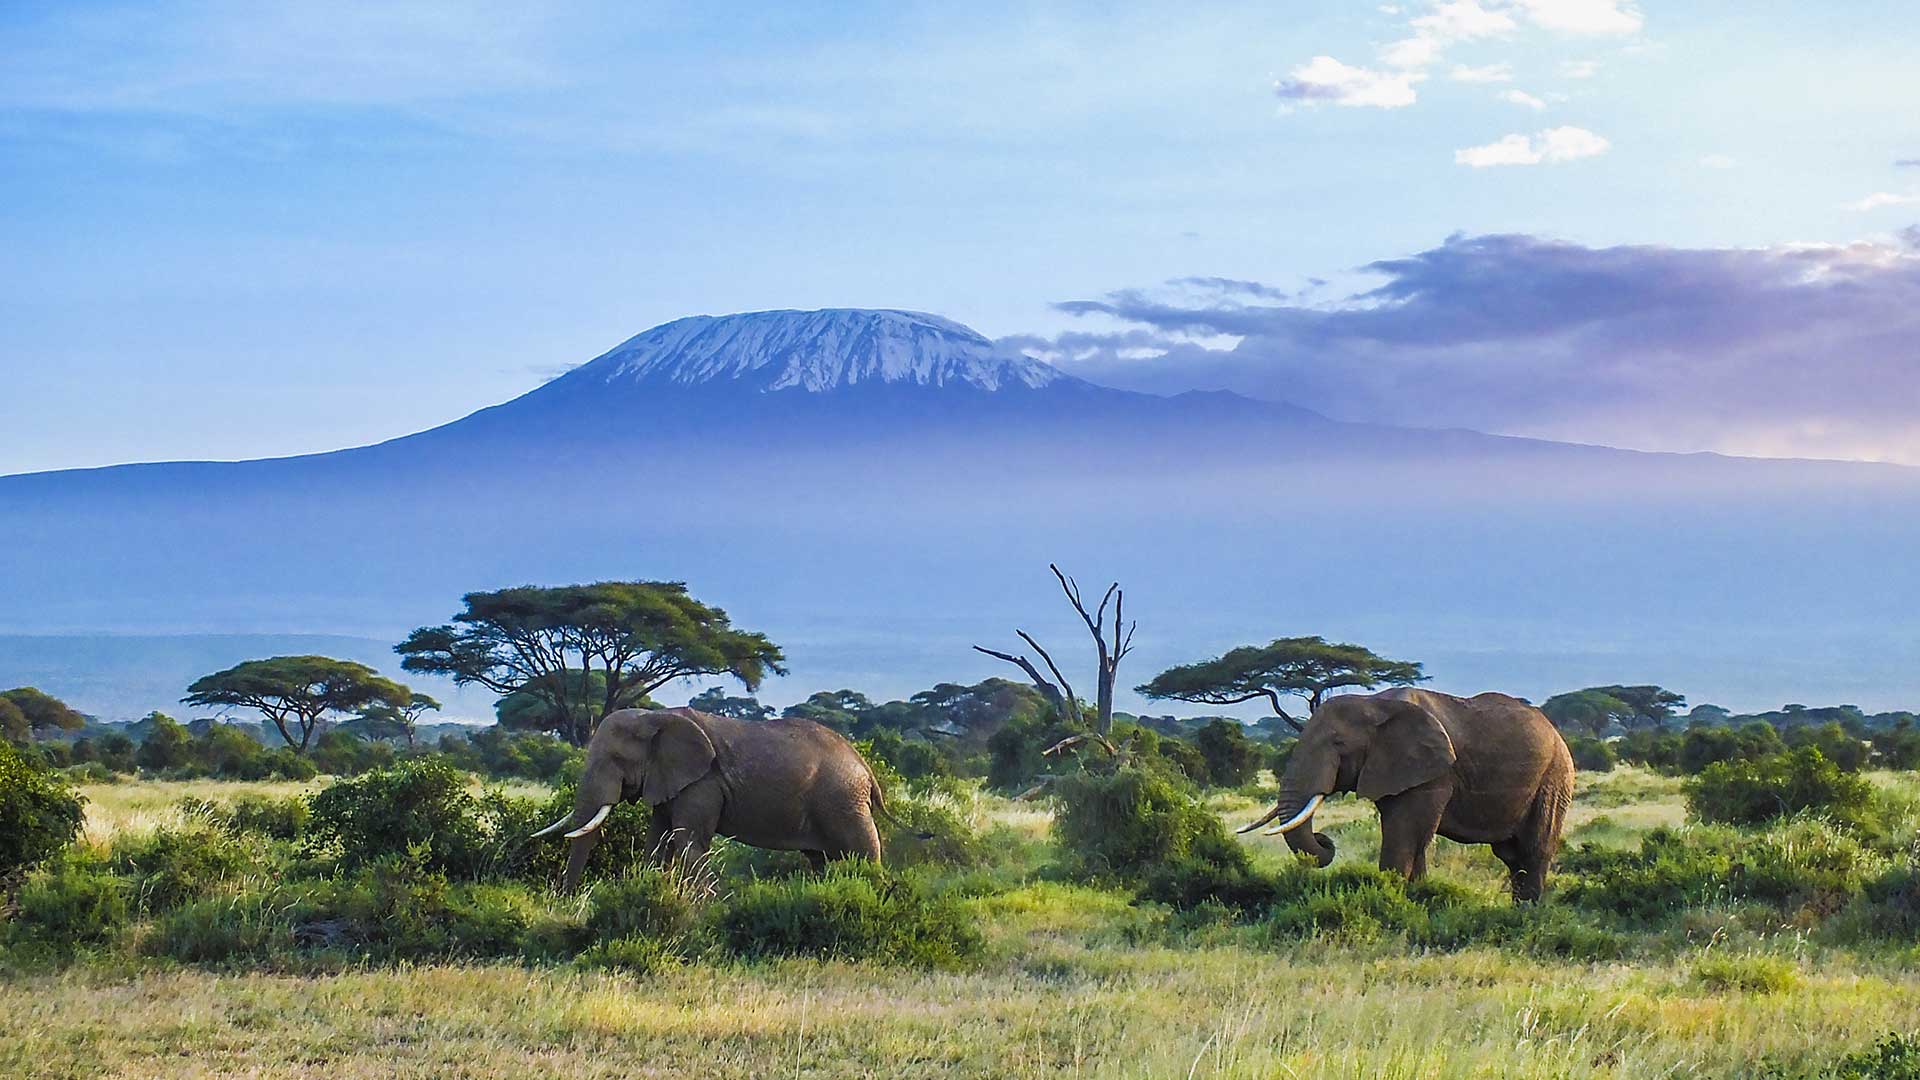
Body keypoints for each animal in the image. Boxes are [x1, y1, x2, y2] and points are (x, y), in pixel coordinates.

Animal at [526, 703, 883, 887]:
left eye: (615, 760)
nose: (567, 898)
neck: (655, 717)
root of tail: (865, 767)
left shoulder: (702, 783)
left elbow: (689, 842)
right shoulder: (669, 780)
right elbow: (658, 841)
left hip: (843, 800)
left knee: (863, 851)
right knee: (820, 859)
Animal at [1244, 680, 1574, 899]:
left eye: (1339, 743)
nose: (1324, 839)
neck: (1374, 704)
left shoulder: (1434, 773)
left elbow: (1406, 834)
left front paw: (1391, 899)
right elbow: (1410, 836)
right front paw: (1417, 897)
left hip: (1554, 778)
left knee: (1534, 850)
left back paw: (1526, 912)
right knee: (1510, 855)